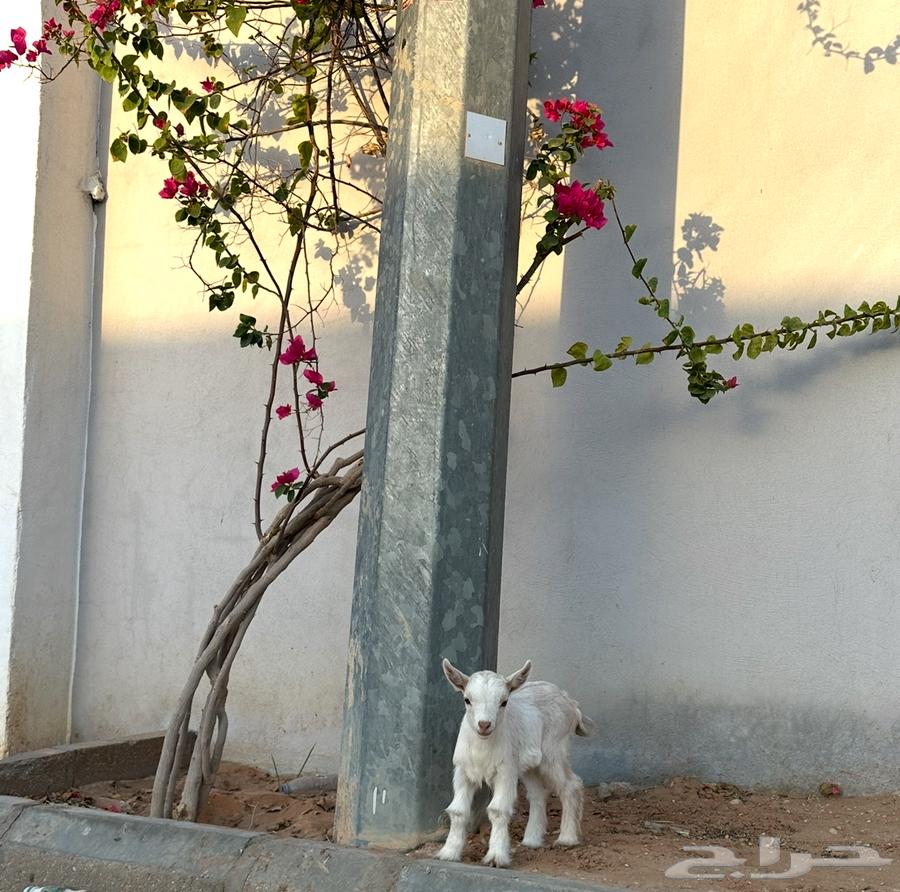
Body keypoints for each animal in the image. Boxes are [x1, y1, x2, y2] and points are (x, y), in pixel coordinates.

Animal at [436, 657, 595, 868]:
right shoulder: (463, 771)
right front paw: (448, 853)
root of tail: (570, 701)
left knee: (571, 785)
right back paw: (532, 840)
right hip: (530, 766)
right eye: (467, 700)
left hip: (554, 751)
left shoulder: (506, 770)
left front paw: (496, 857)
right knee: (537, 794)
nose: (484, 725)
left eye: (504, 702)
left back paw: (567, 838)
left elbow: (497, 810)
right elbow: (458, 811)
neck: (483, 747)